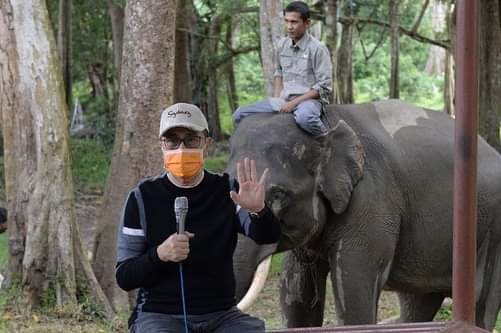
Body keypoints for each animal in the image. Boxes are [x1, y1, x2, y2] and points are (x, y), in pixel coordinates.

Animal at [229, 99, 500, 330]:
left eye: (278, 194)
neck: (330, 122)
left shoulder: (371, 200)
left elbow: (354, 288)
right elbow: (296, 293)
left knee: (481, 298)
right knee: (417, 301)